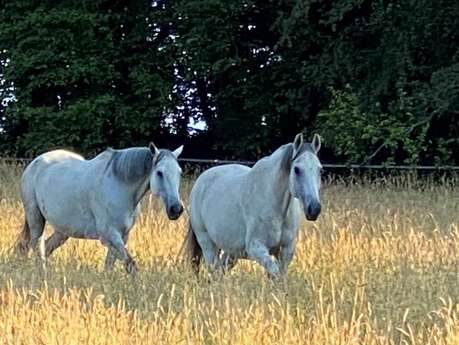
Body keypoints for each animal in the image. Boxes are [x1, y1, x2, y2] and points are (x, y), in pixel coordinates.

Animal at [16, 142, 185, 272]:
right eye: (159, 173)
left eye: (179, 172)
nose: (176, 209)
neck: (120, 185)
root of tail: (35, 162)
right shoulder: (110, 233)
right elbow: (130, 264)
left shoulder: (123, 235)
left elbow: (110, 265)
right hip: (36, 219)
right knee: (36, 246)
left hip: (63, 230)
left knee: (45, 247)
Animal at [184, 132, 324, 276]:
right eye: (296, 169)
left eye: (320, 170)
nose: (314, 209)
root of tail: (200, 181)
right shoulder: (256, 247)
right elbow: (274, 271)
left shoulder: (286, 251)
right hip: (207, 245)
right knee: (213, 271)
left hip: (232, 252)